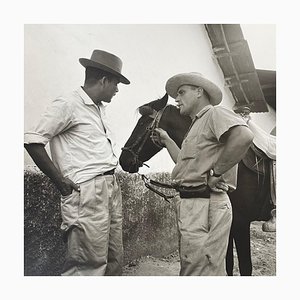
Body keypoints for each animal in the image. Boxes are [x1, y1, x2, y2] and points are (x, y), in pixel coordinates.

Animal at [118, 94, 276, 276]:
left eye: (142, 123)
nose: (123, 160)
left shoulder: (241, 222)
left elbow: (245, 267)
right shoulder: (229, 223)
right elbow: (227, 264)